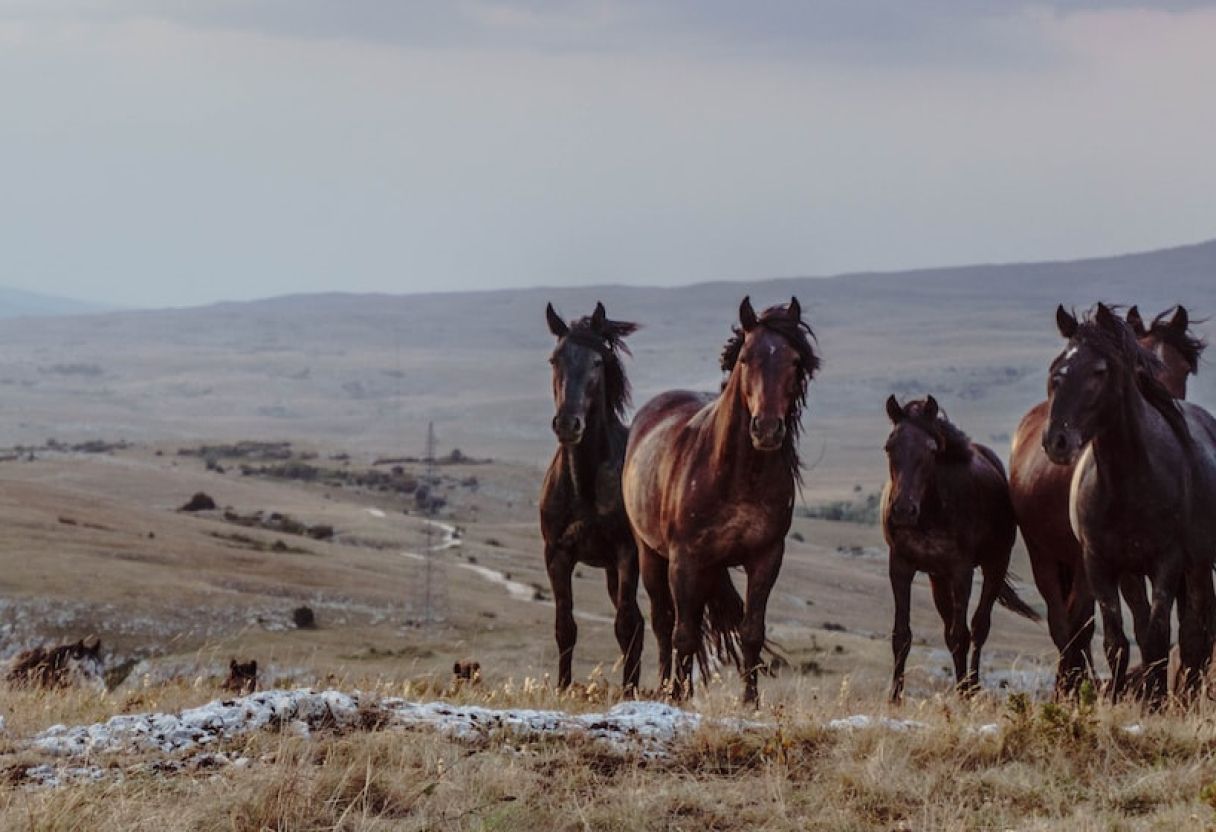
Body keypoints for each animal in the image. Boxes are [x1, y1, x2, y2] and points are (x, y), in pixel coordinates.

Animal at [535, 301, 642, 690]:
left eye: (598, 361)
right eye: (555, 359)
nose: (568, 424)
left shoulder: (628, 554)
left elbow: (625, 625)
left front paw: (630, 693)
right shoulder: (557, 554)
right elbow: (565, 627)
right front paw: (563, 688)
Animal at [627, 296, 817, 700]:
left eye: (795, 361)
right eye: (745, 357)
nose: (767, 429)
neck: (736, 477)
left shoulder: (766, 557)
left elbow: (752, 632)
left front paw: (750, 701)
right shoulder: (685, 559)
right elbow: (683, 634)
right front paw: (676, 697)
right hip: (650, 554)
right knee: (664, 622)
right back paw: (667, 685)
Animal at [880, 396, 1040, 700]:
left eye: (931, 450)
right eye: (889, 446)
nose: (904, 510)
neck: (931, 510)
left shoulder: (961, 571)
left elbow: (960, 635)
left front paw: (965, 694)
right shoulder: (901, 566)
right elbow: (901, 634)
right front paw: (894, 698)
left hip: (994, 565)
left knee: (978, 628)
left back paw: (973, 687)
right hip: (938, 578)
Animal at [1006, 305, 1206, 695]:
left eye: (1184, 369)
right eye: (1055, 370)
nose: (1057, 440)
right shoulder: (1100, 562)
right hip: (1044, 555)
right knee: (1067, 625)